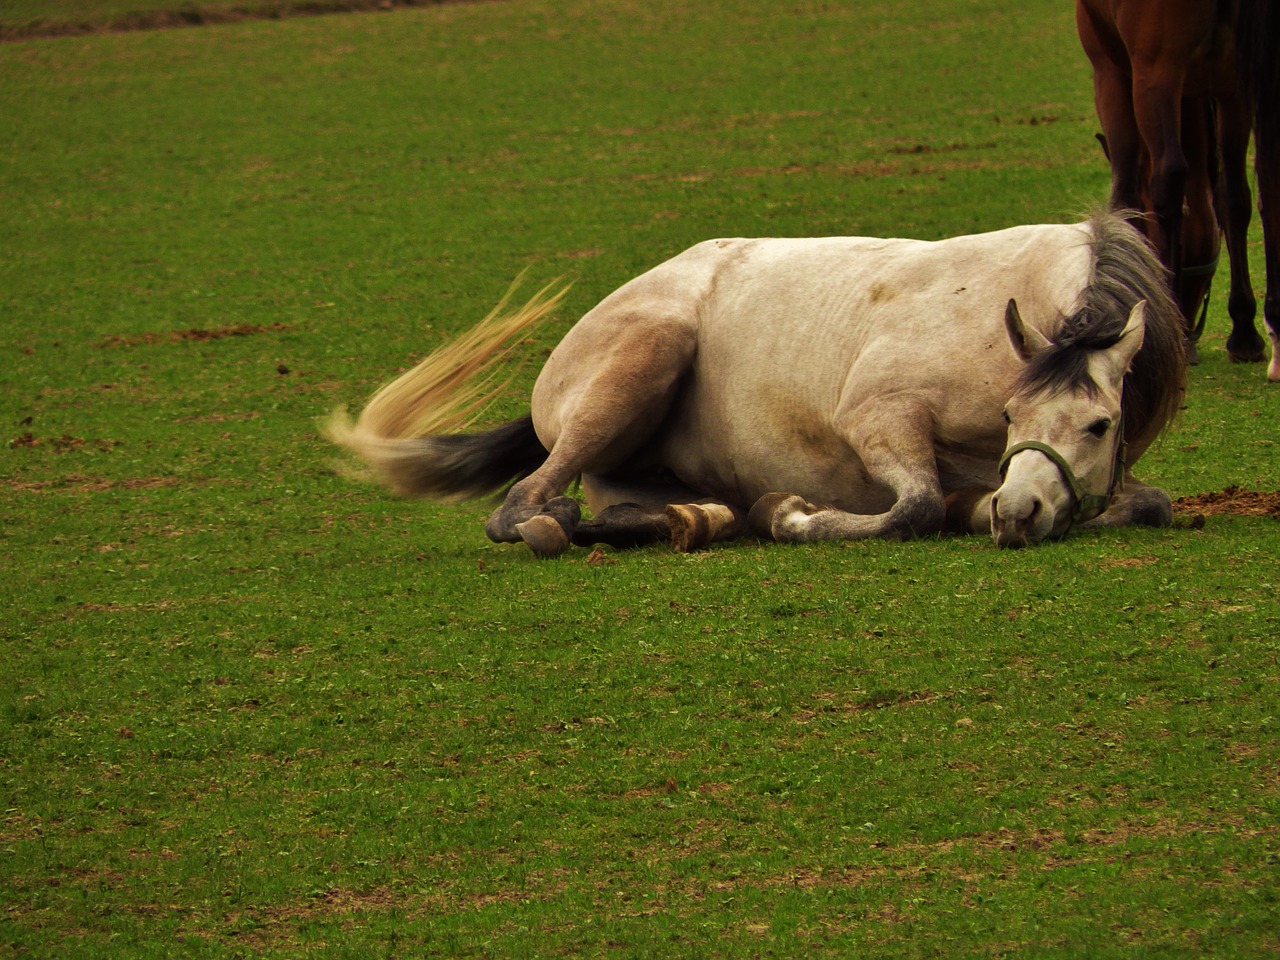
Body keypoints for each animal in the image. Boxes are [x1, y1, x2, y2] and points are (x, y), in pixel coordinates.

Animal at [325, 209, 1182, 555]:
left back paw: (685, 521)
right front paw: (797, 516)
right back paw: (557, 523)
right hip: (644, 357)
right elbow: (912, 508)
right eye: (1009, 412)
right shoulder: (878, 417)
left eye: (1101, 425)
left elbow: (1150, 505)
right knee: (521, 507)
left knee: (640, 512)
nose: (1018, 512)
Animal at [1080, 0, 1280, 381]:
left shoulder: (1110, 71)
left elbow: (1128, 197)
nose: (1190, 319)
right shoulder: (1233, 88)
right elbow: (1234, 199)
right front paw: (1244, 332)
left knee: (1169, 180)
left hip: (1155, 70)